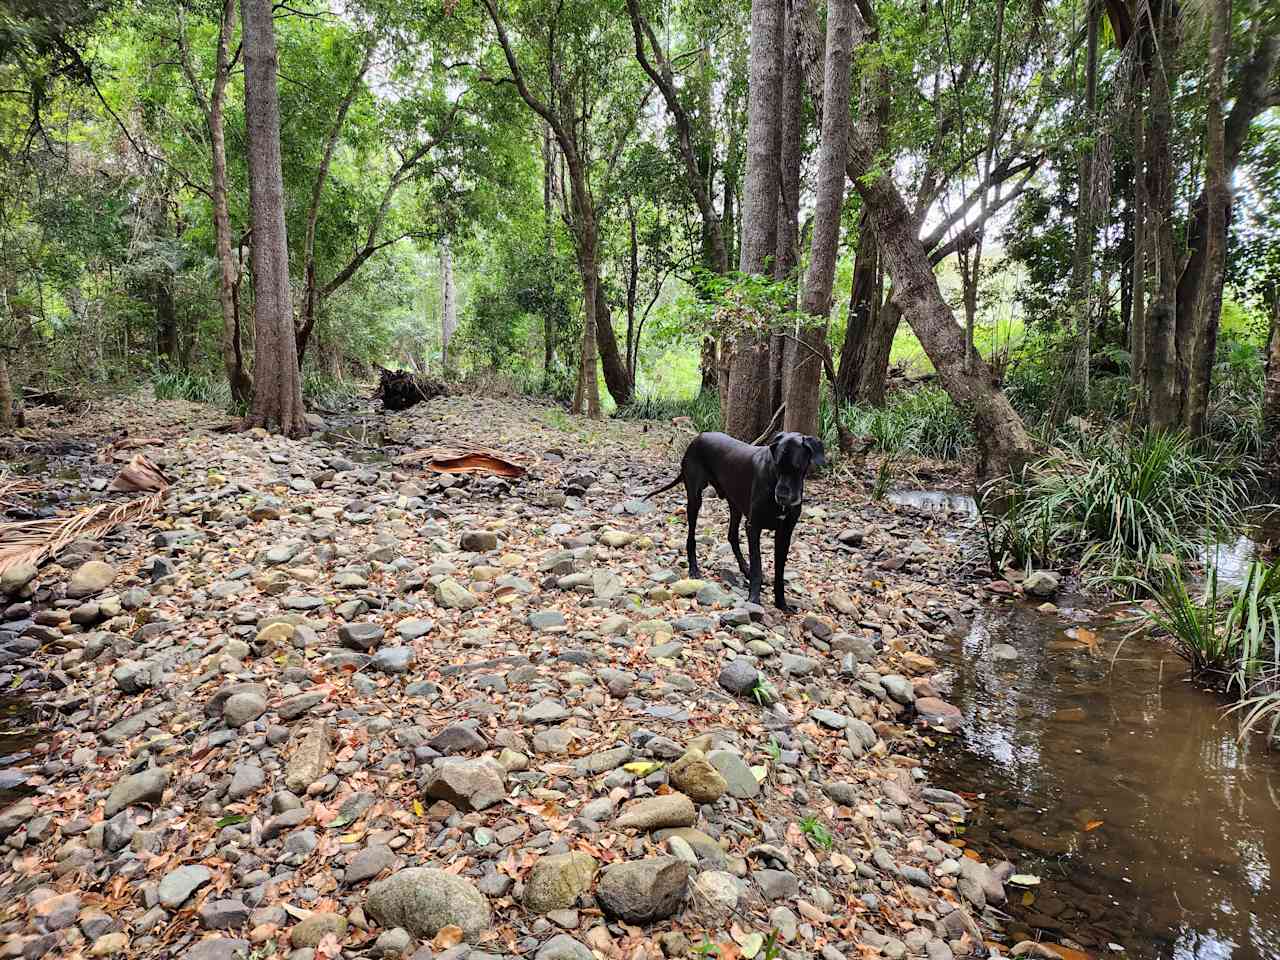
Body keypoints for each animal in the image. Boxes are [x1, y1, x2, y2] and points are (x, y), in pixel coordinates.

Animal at [645, 435, 824, 611]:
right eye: (777, 465)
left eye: (797, 468)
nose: (781, 496)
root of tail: (697, 438)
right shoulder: (753, 527)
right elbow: (757, 566)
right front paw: (754, 600)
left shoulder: (785, 533)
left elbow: (779, 572)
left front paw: (782, 604)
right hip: (695, 499)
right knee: (691, 537)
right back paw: (694, 569)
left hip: (735, 505)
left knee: (732, 536)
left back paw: (745, 569)